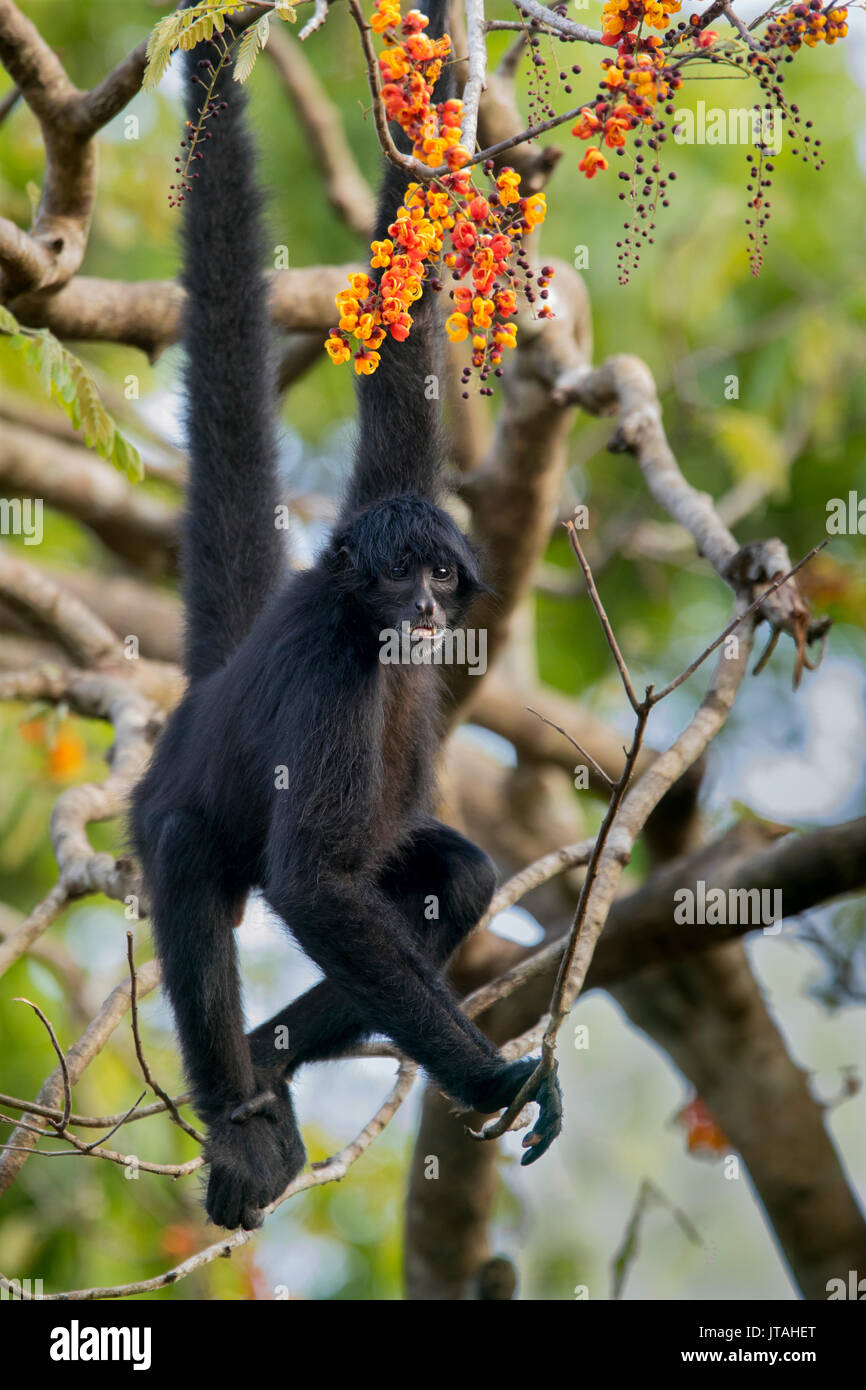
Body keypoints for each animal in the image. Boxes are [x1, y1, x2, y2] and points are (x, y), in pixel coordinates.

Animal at [130, 2, 562, 1233]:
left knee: (454, 877)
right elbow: (314, 884)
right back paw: (240, 1114)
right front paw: (495, 1077)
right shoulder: (332, 664)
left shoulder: (397, 482)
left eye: (440, 577)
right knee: (187, 850)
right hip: (167, 812)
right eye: (395, 577)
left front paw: (441, 81)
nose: (420, 605)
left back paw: (272, 1059)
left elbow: (400, 332)